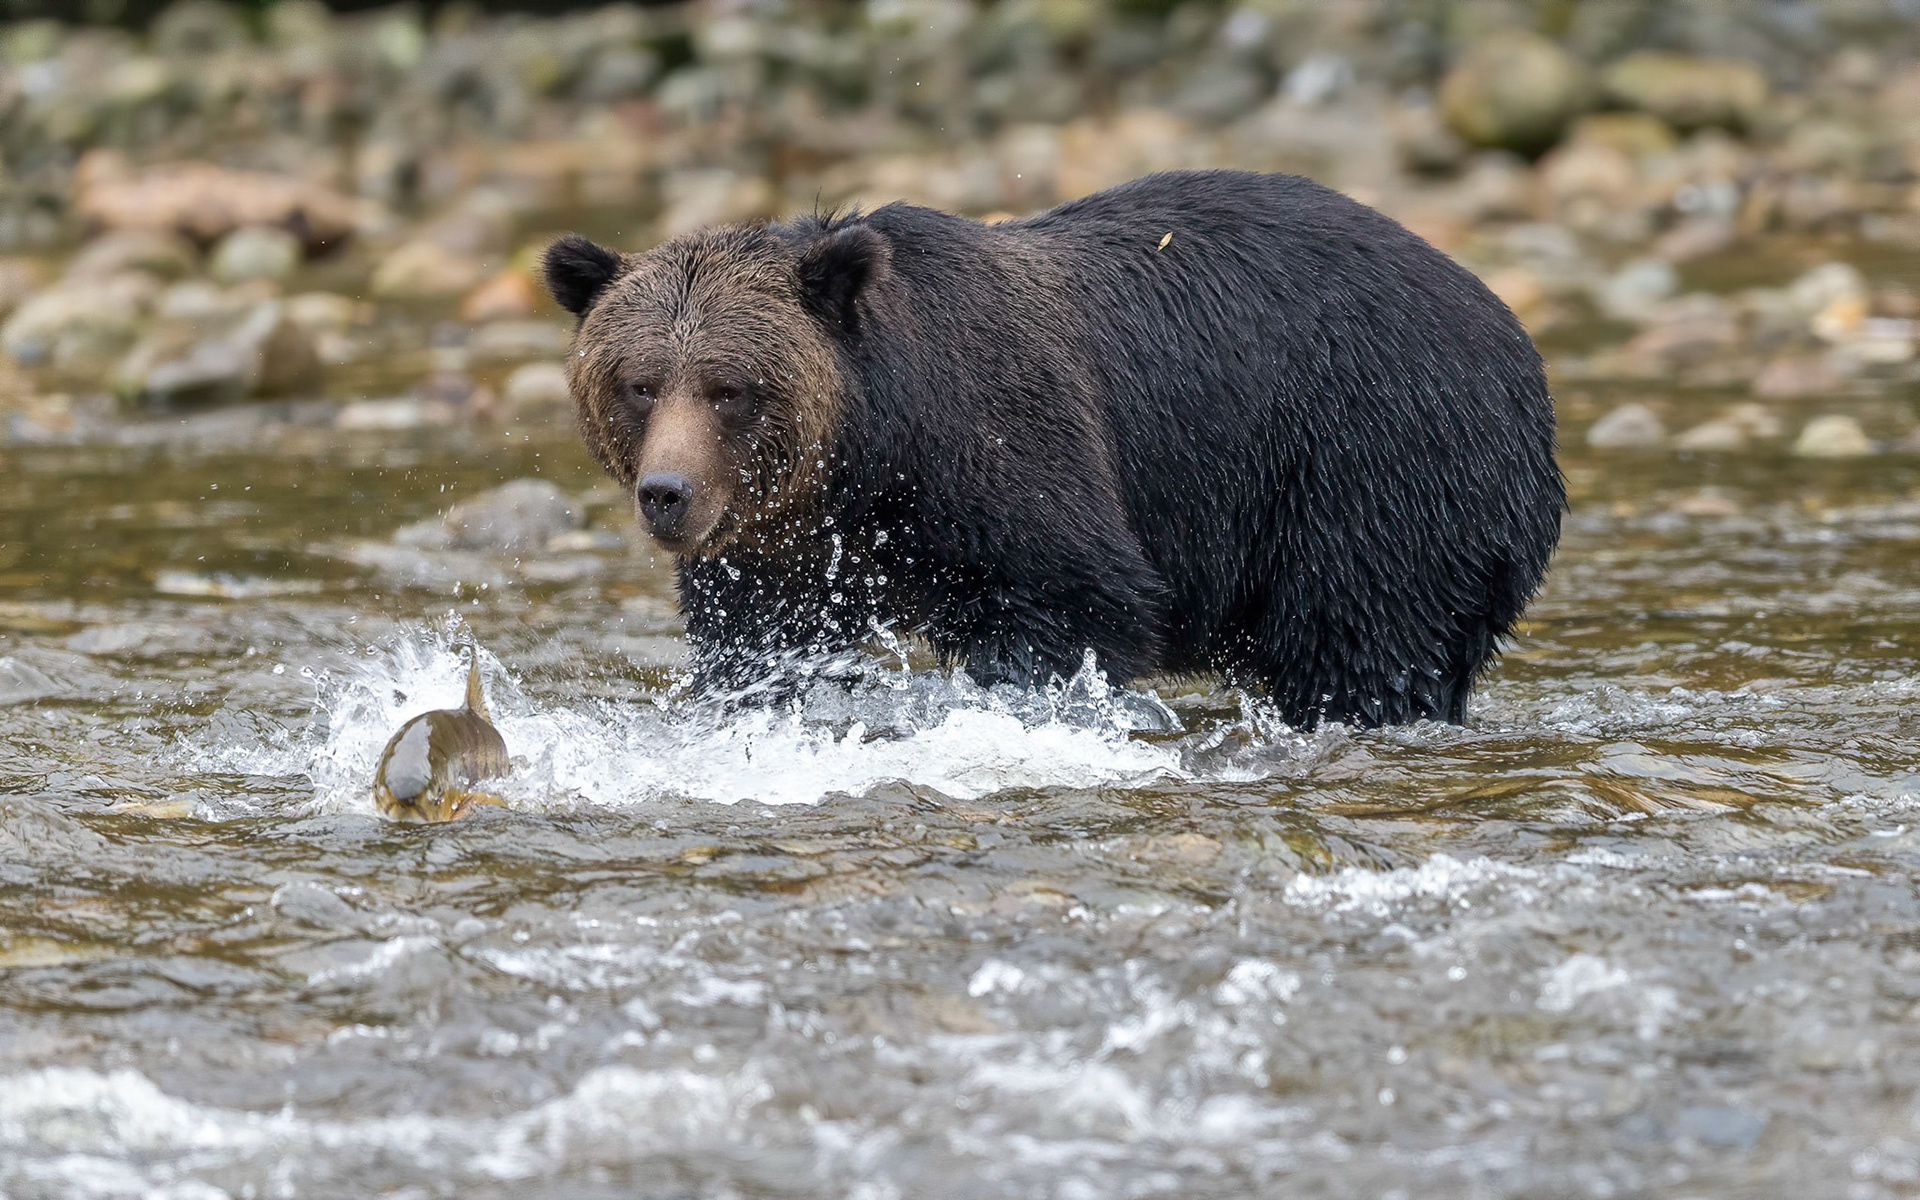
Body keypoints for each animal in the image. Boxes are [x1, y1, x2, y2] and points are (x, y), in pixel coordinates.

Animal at [543, 169, 1564, 728]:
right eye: (640, 382)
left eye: (729, 388)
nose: (667, 493)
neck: (874, 455)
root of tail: (1520, 350)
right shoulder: (782, 548)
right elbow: (762, 645)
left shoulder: (1003, 439)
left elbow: (1073, 598)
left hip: (1375, 464)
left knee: (1363, 638)